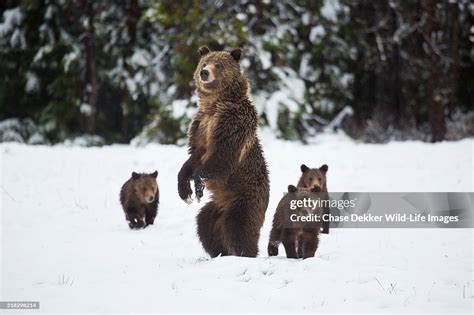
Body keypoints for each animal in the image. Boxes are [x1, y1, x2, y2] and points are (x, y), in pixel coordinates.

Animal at [178, 47, 268, 260]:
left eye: (218, 65)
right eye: (204, 63)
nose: (204, 73)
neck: (214, 105)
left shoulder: (231, 124)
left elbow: (222, 155)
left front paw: (198, 185)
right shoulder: (201, 126)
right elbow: (193, 157)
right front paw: (185, 191)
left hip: (244, 199)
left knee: (238, 228)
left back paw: (244, 254)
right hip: (215, 208)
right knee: (205, 226)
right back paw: (220, 253)